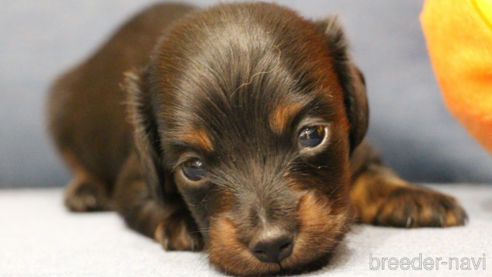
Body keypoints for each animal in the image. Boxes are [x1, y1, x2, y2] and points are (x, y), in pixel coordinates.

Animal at [48, 1, 468, 274]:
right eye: (193, 168)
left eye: (312, 135)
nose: (271, 245)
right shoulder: (135, 180)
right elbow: (149, 204)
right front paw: (182, 223)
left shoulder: (356, 149)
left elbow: (370, 176)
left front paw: (413, 197)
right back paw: (85, 191)